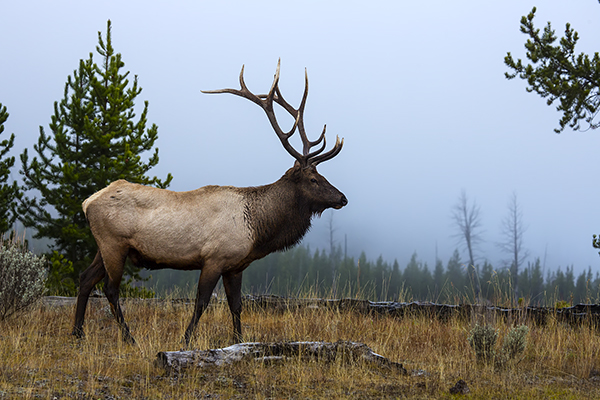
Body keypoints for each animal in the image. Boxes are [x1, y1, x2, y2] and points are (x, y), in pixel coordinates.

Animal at [72, 61, 350, 346]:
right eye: (313, 179)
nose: (342, 198)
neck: (257, 229)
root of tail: (87, 202)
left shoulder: (235, 266)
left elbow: (236, 305)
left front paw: (239, 340)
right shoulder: (214, 258)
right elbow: (202, 302)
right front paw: (185, 340)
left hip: (104, 246)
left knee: (85, 279)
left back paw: (78, 333)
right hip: (114, 243)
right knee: (110, 289)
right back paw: (129, 338)